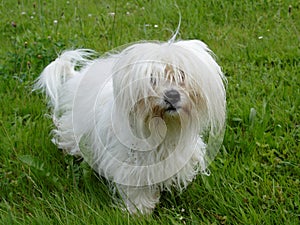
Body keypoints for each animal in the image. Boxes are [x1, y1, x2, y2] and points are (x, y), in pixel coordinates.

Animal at [35, 37, 226, 214]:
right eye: (152, 79)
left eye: (182, 76)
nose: (172, 96)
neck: (162, 129)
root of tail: (79, 77)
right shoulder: (132, 166)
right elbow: (137, 192)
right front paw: (138, 212)